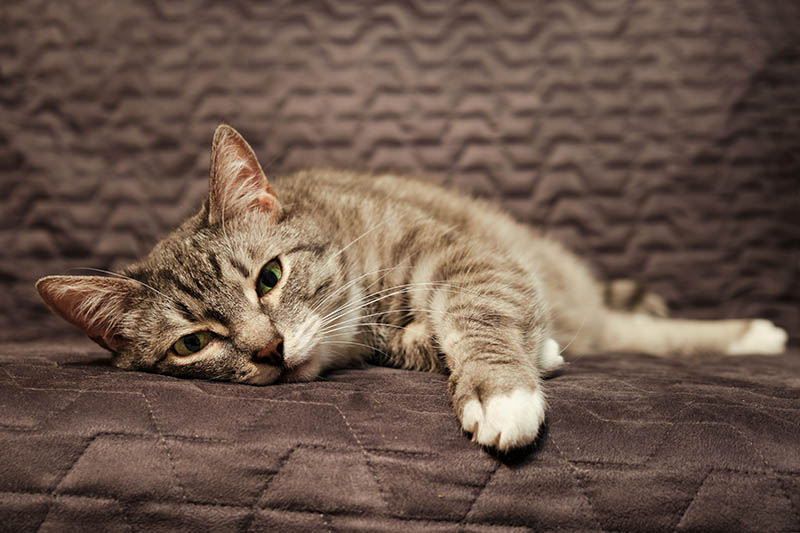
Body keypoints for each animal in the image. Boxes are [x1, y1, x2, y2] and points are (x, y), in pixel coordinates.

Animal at [36, 123, 788, 448]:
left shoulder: (469, 258)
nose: (269, 350)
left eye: (270, 276)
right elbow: (423, 341)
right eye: (193, 343)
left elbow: (476, 313)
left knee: (635, 329)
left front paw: (502, 387)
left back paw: (752, 334)